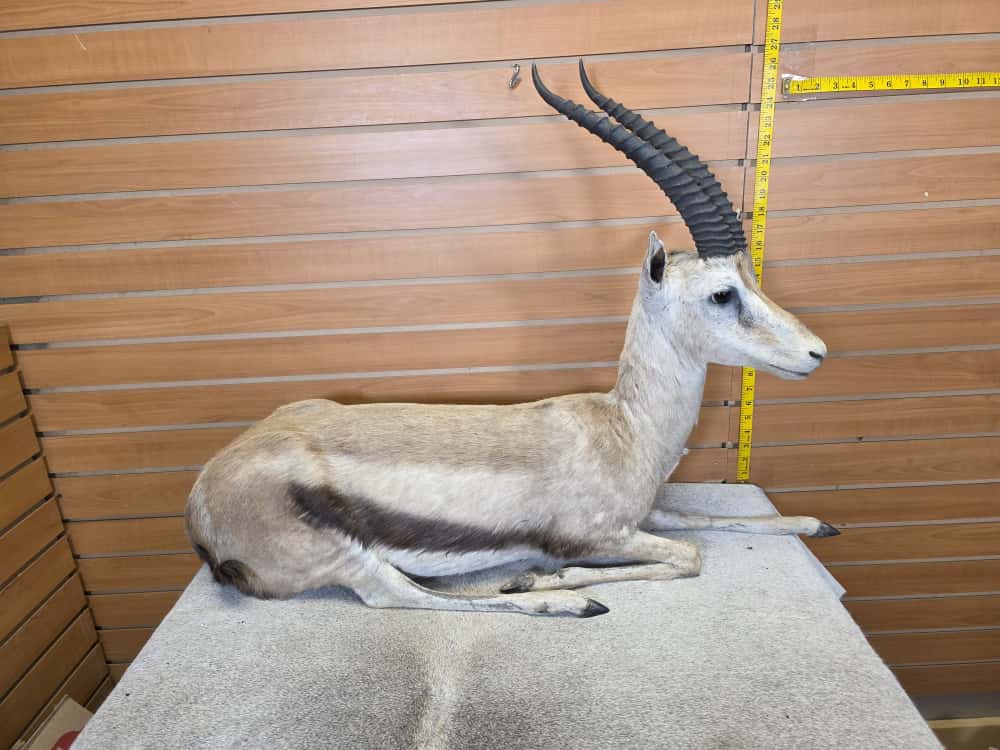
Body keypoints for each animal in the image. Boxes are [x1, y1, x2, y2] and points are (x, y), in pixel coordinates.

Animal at [185, 62, 836, 618]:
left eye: (752, 277)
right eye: (723, 294)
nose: (816, 354)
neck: (624, 431)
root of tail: (201, 500)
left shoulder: (649, 512)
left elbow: (700, 519)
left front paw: (813, 523)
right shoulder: (601, 534)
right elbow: (687, 555)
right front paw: (549, 577)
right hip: (349, 561)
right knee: (400, 595)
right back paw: (566, 602)